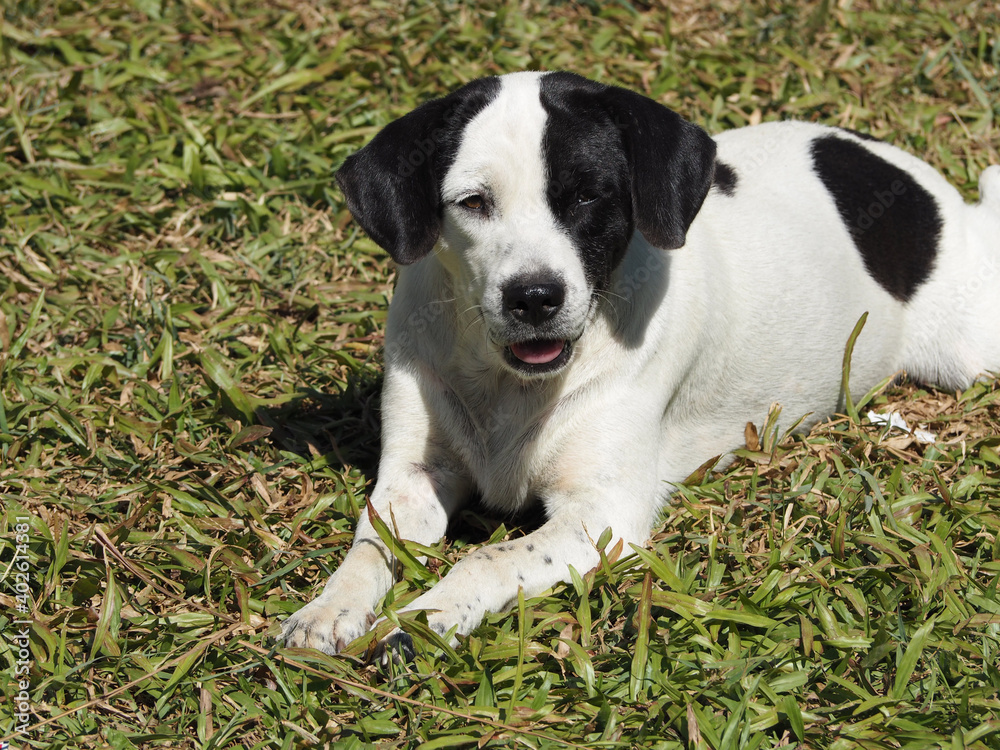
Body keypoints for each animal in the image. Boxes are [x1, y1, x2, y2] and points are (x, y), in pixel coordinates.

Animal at [280, 70, 1000, 656]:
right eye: (474, 202)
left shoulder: (603, 514)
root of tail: (935, 195)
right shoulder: (412, 478)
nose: (534, 297)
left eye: (588, 197)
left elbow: (490, 560)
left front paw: (424, 619)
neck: (511, 385)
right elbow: (370, 545)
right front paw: (330, 609)